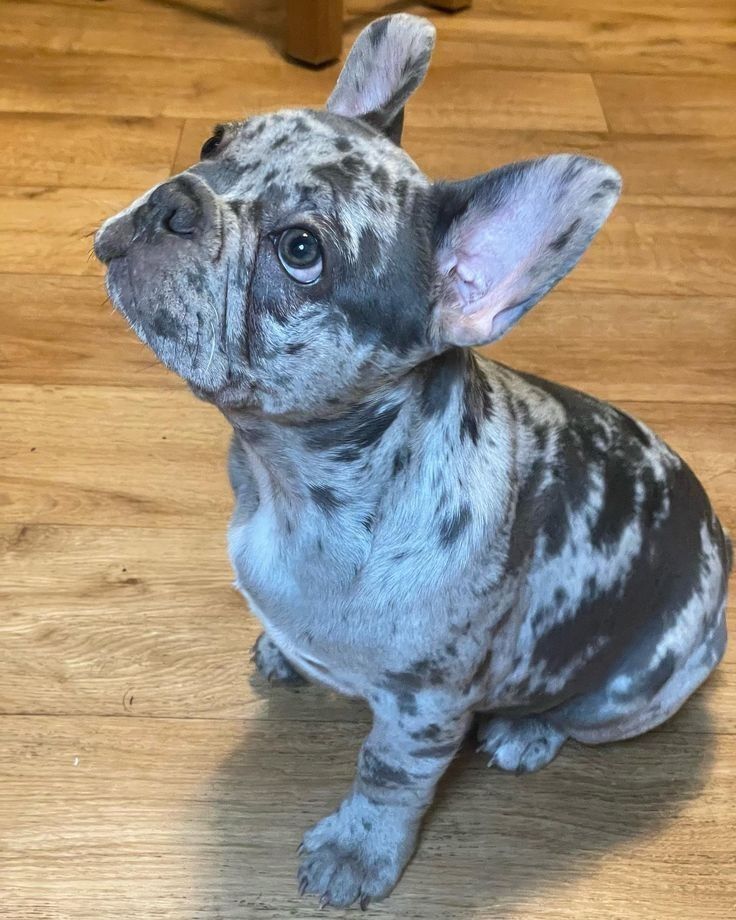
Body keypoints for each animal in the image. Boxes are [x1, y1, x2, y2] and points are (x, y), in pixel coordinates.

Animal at [93, 14, 732, 912]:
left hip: (645, 687)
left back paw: (527, 732)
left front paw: (356, 853)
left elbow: (386, 778)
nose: (174, 197)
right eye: (214, 142)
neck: (288, 476)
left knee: (576, 716)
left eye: (300, 250)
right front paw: (283, 650)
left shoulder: (424, 708)